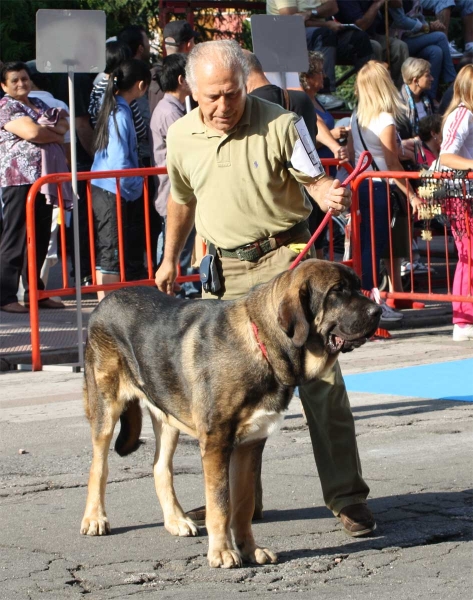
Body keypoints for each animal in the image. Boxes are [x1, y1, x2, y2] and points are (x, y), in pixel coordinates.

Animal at [77, 258, 380, 568]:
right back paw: (95, 518)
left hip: (167, 414)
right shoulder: (216, 442)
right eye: (337, 291)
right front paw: (222, 552)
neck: (262, 343)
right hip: (106, 409)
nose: (378, 310)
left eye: (357, 286)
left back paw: (176, 520)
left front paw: (250, 549)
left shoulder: (251, 444)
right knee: (98, 466)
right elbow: (221, 504)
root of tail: (104, 302)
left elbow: (243, 504)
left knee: (160, 467)